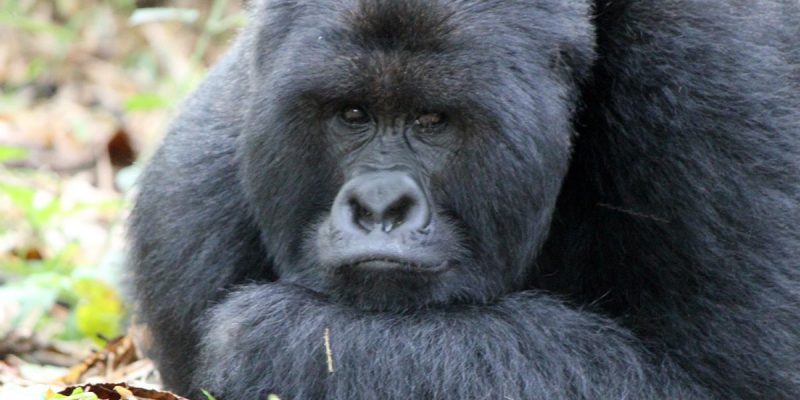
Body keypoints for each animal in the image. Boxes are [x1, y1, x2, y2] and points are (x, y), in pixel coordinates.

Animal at [128, 0, 796, 400]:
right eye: (353, 114)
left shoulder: (710, 74)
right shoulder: (184, 215)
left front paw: (277, 343)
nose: (379, 207)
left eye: (432, 120)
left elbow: (731, 384)